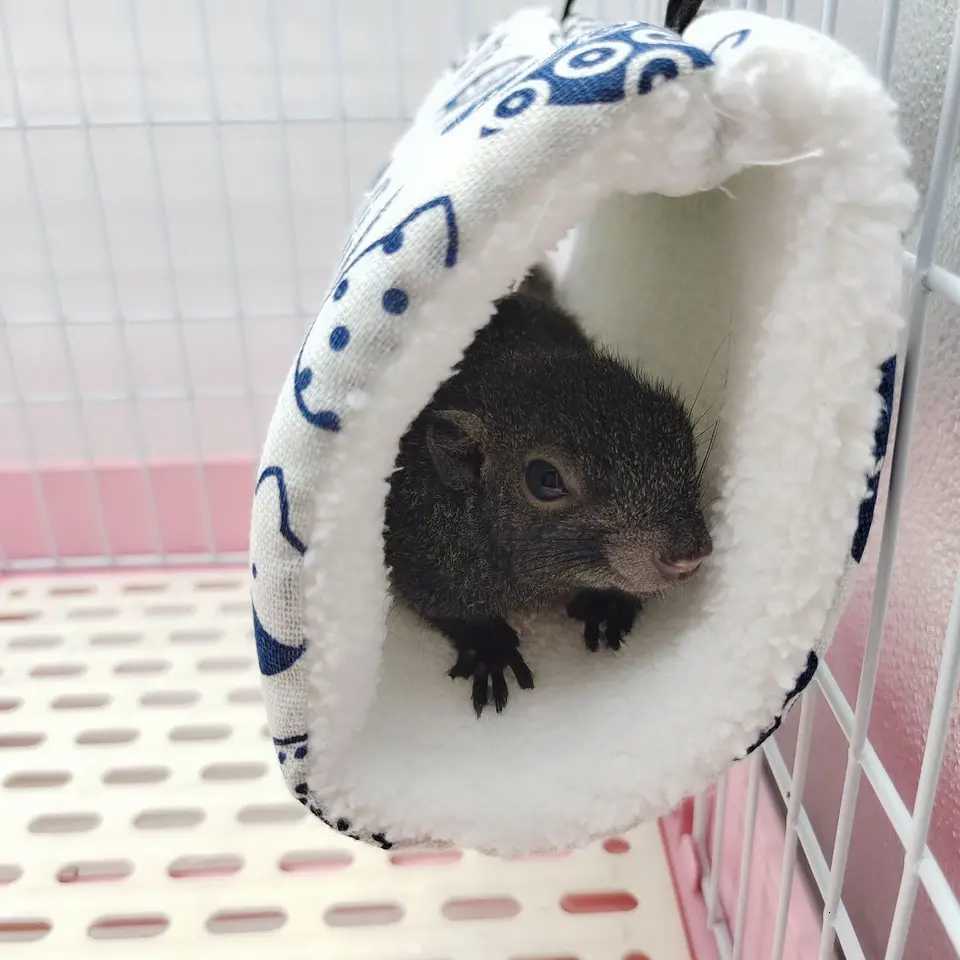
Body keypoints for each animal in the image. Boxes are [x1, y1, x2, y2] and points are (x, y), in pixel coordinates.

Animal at [384, 266, 712, 716]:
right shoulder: (415, 547)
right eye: (545, 479)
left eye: (683, 433)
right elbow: (443, 604)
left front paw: (610, 603)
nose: (688, 554)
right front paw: (489, 646)